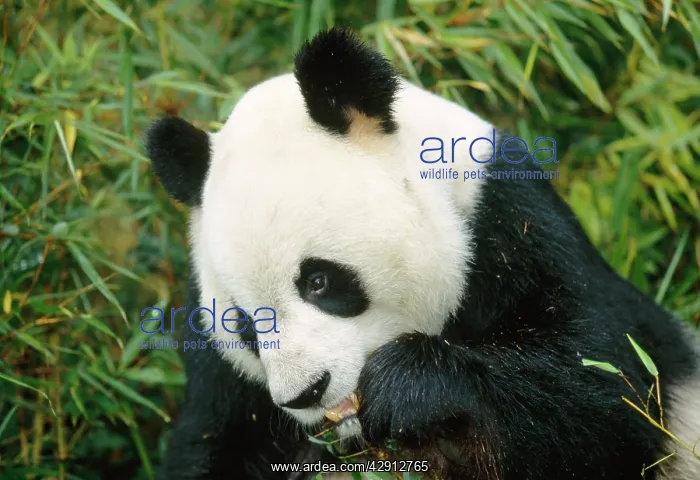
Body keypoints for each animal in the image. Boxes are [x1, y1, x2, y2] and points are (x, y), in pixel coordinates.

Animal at [144, 28, 700, 480]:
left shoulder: (513, 231)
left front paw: (406, 388)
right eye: (244, 323)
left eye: (319, 281)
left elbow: (608, 397)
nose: (306, 392)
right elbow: (213, 443)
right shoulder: (227, 385)